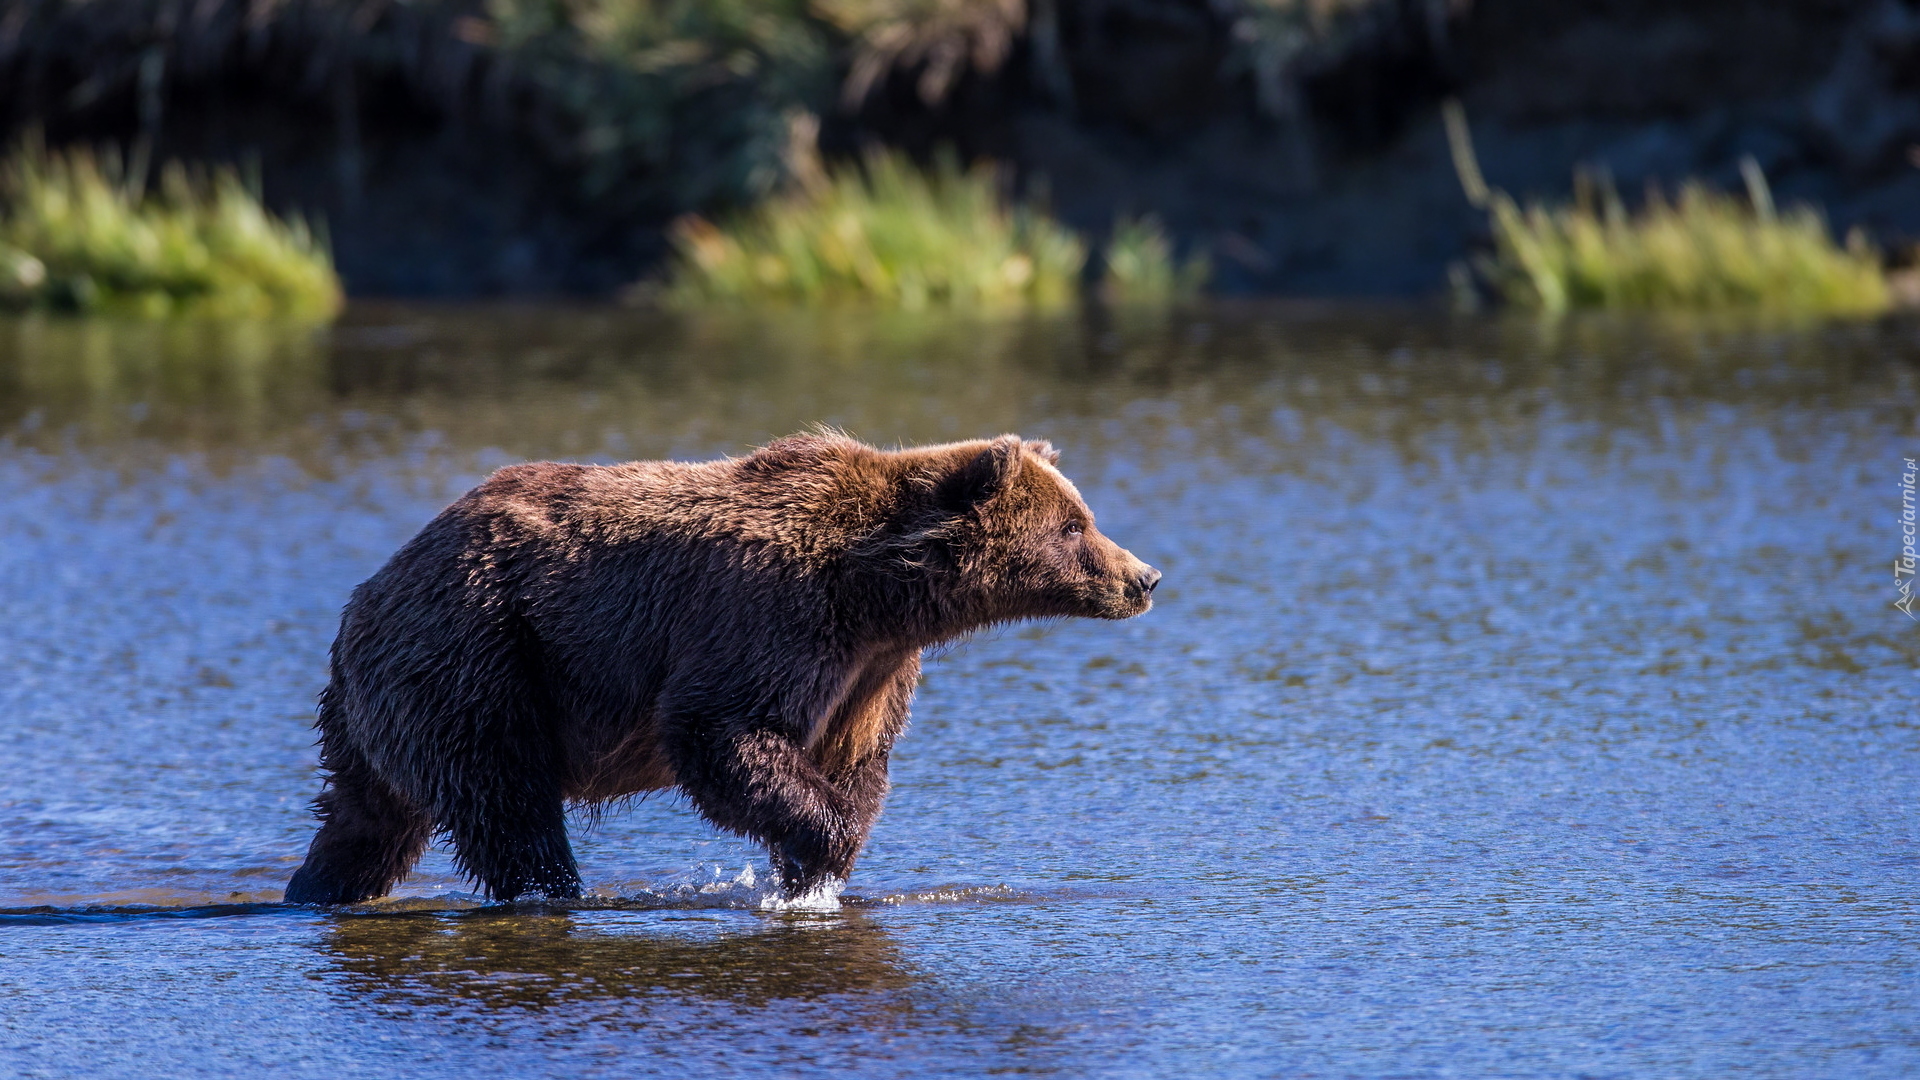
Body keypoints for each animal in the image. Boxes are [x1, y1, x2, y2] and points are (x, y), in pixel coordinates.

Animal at [280, 428, 1152, 899]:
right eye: (1074, 526)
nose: (1144, 577)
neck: (878, 592)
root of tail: (363, 598)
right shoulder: (770, 617)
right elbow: (720, 732)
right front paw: (818, 856)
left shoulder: (871, 674)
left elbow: (857, 760)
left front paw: (819, 866)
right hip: (480, 654)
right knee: (508, 808)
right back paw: (551, 888)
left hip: (389, 705)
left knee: (368, 820)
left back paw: (314, 889)